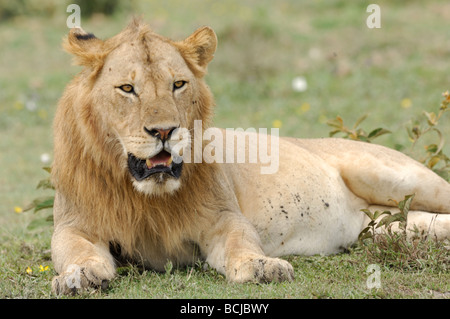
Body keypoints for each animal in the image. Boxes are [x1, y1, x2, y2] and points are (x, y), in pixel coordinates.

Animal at [50, 19, 450, 296]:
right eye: (127, 88)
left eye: (178, 84)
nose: (164, 132)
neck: (147, 196)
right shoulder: (73, 224)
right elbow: (74, 250)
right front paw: (78, 276)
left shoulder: (222, 217)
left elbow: (241, 243)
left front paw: (262, 267)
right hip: (387, 227)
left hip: (396, 177)